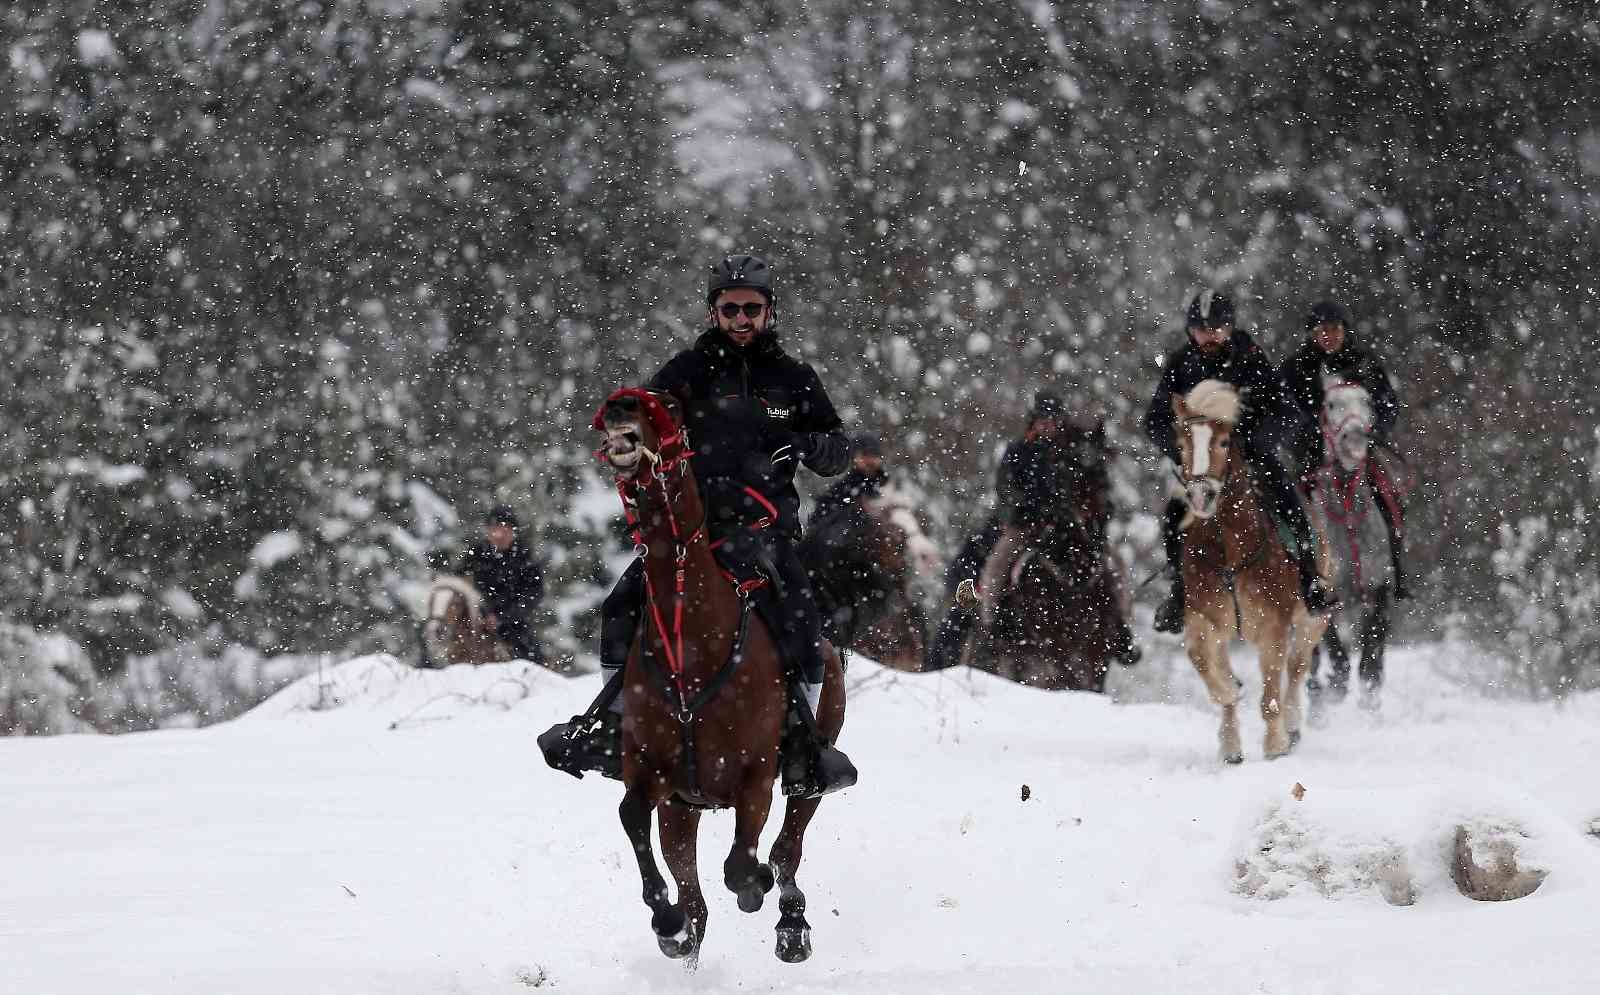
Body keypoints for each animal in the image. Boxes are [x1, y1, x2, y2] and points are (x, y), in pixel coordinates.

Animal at [598, 390, 851, 966]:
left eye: (667, 407)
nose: (620, 407)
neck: (692, 643)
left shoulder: (755, 778)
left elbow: (744, 865)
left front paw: (756, 886)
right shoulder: (652, 776)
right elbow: (631, 817)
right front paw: (666, 923)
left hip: (812, 766)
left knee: (788, 846)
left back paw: (790, 923)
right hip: (681, 810)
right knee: (697, 897)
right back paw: (684, 934)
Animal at [1177, 382, 1324, 764]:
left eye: (1223, 442)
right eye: (1182, 444)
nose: (1201, 496)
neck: (1229, 545)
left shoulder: (1273, 626)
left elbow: (1271, 694)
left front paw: (1275, 746)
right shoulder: (1205, 618)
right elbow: (1202, 660)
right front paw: (1230, 700)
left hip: (1312, 622)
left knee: (1296, 670)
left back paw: (1292, 727)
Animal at [1305, 375, 1420, 716]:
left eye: (1367, 400)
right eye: (1331, 404)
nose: (1355, 436)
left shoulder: (1378, 590)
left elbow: (1372, 652)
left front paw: (1370, 700)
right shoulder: (1327, 596)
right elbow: (1335, 650)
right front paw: (1335, 687)